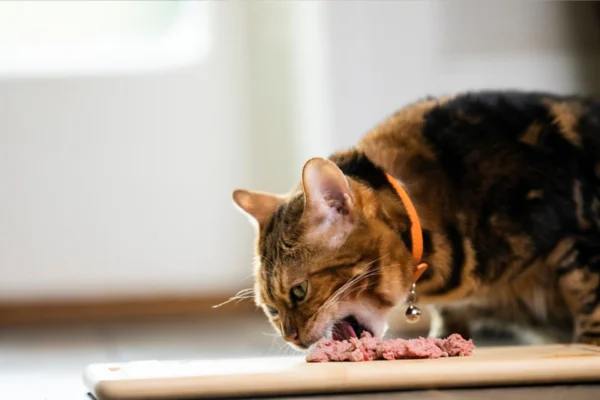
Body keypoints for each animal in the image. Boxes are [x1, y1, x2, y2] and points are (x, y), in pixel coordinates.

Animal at [232, 90, 600, 350]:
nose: (290, 337)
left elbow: (587, 296)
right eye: (271, 310)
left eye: (299, 291)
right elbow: (450, 319)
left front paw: (585, 347)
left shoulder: (577, 239)